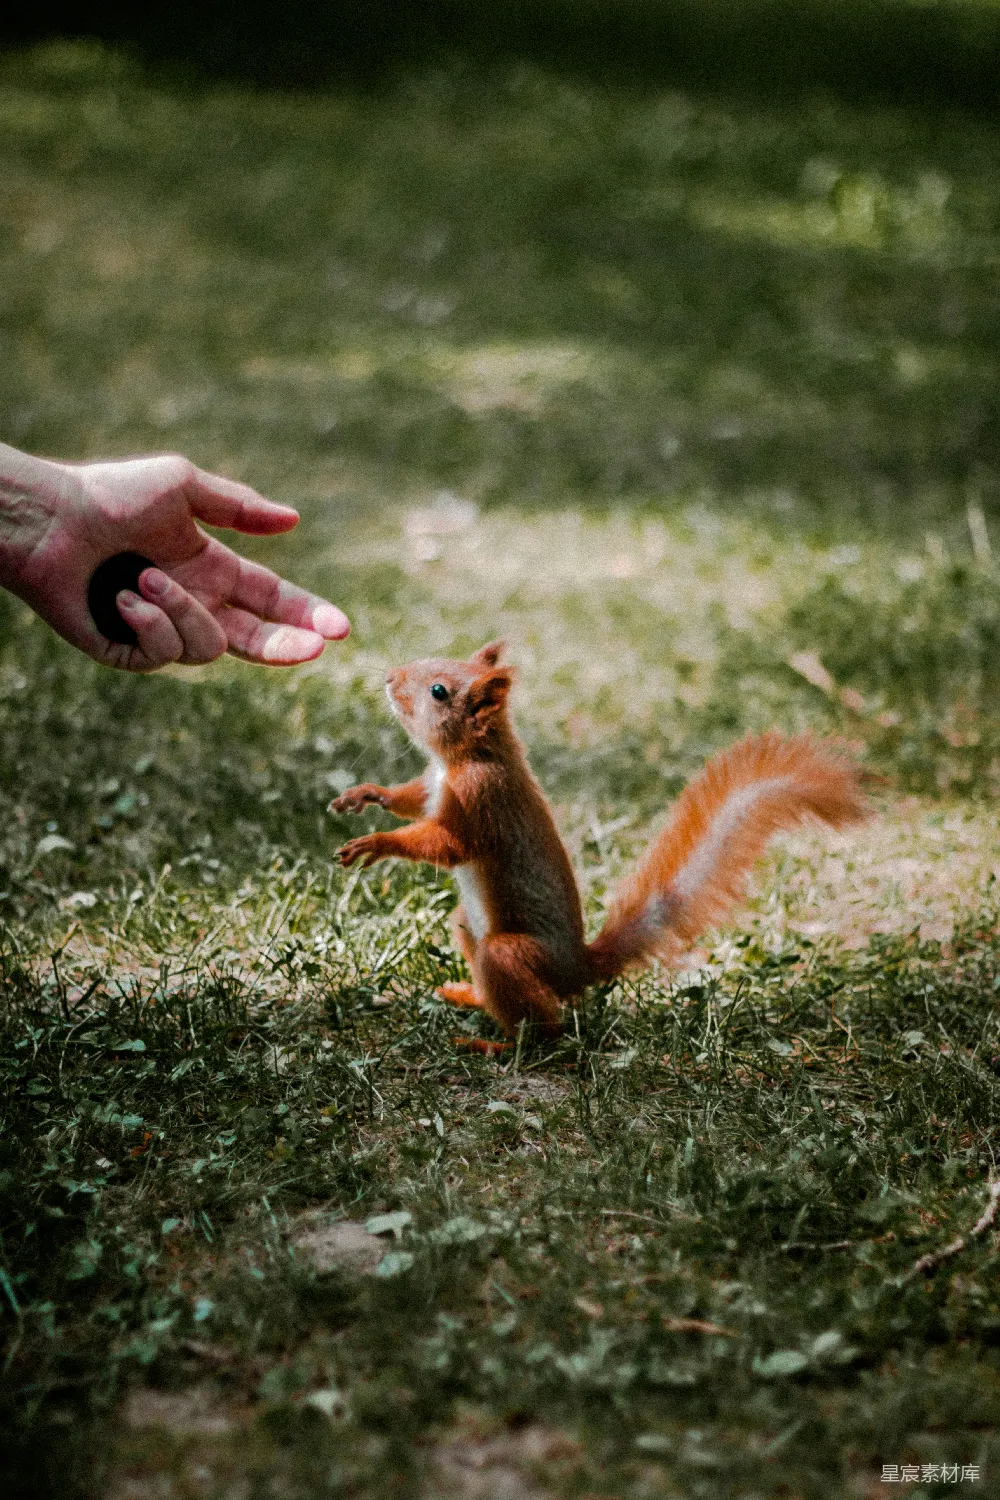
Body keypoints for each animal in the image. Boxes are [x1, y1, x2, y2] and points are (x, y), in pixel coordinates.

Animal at [331, 641, 867, 1049]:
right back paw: (471, 996)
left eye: (438, 691)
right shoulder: (431, 787)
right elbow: (411, 801)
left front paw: (376, 843)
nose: (388, 678)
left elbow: (449, 845)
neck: (466, 757)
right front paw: (366, 794)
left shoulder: (483, 798)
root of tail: (577, 969)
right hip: (468, 924)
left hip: (512, 955)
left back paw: (500, 1045)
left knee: (544, 1030)